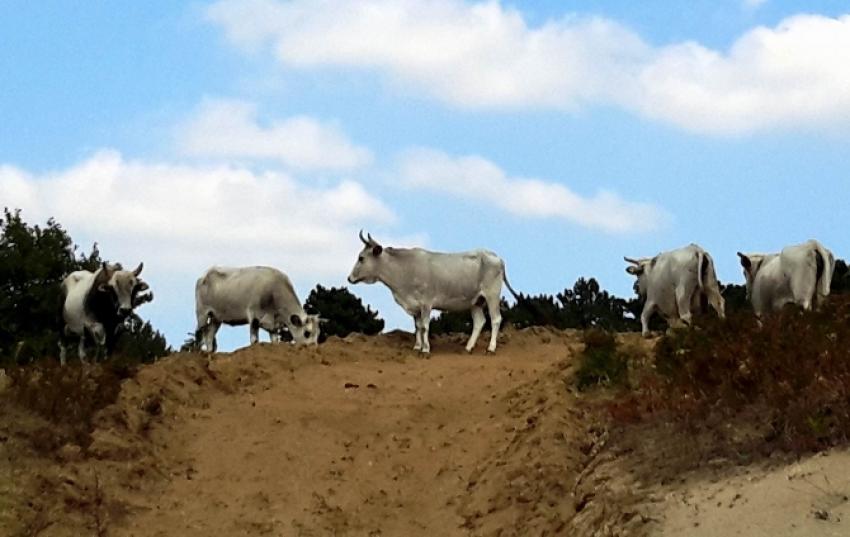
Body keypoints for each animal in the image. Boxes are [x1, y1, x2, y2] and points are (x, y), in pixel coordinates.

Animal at [344, 229, 516, 352]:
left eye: (361, 258)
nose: (349, 278)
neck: (405, 269)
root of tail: (496, 257)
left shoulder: (426, 303)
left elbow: (425, 326)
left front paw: (426, 349)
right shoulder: (415, 306)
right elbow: (417, 327)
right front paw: (417, 346)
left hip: (492, 295)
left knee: (495, 319)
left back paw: (491, 348)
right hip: (475, 301)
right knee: (479, 322)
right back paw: (468, 347)